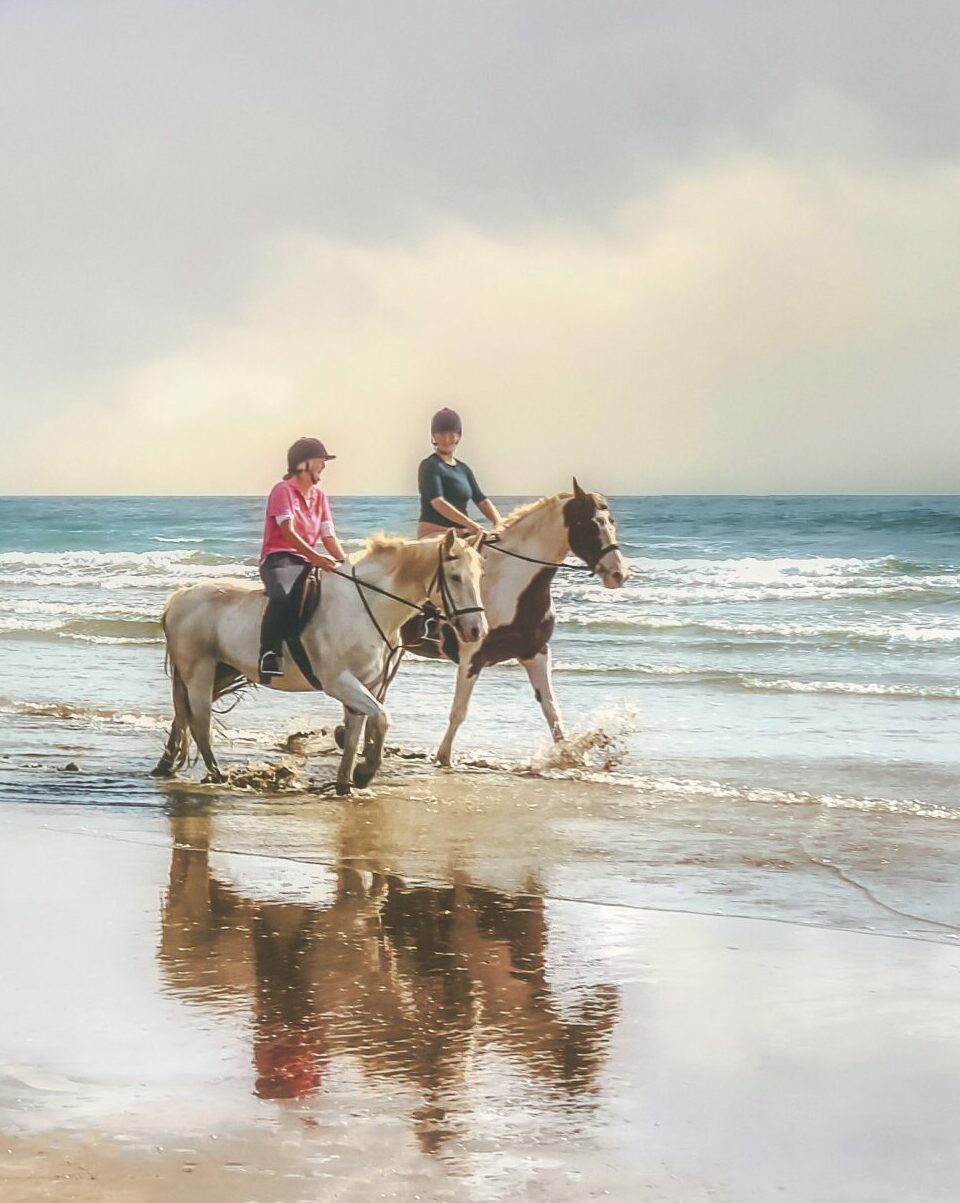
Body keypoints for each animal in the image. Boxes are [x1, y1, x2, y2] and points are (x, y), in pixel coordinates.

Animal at [151, 524, 488, 789]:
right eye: (455, 577)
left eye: (479, 575)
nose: (477, 630)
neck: (367, 606)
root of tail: (178, 598)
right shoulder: (339, 682)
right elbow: (381, 717)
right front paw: (365, 772)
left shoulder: (366, 684)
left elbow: (356, 734)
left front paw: (347, 783)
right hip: (199, 671)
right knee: (200, 723)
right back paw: (217, 776)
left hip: (218, 670)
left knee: (183, 717)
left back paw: (167, 766)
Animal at [399, 478, 630, 760]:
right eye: (589, 524)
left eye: (612, 521)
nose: (619, 574)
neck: (512, 584)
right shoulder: (472, 656)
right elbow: (459, 711)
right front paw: (443, 757)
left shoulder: (536, 653)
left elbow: (552, 710)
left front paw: (567, 755)